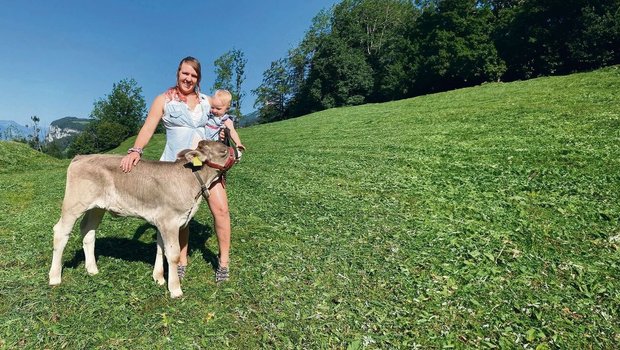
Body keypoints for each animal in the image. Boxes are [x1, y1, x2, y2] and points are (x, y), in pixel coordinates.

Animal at [48, 141, 236, 296]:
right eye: (223, 151)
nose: (238, 149)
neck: (192, 181)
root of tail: (81, 157)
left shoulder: (161, 221)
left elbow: (161, 249)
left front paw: (159, 278)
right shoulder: (170, 221)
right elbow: (173, 254)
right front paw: (175, 289)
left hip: (97, 207)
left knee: (87, 230)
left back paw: (92, 269)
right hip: (74, 203)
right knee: (61, 232)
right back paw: (55, 277)